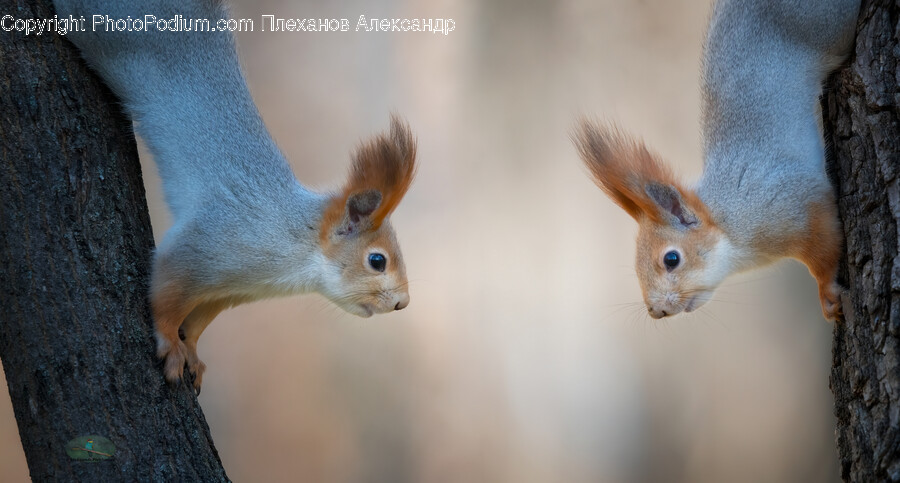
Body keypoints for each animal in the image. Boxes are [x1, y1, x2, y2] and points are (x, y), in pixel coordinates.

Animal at [53, 0, 417, 390]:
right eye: (376, 260)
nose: (403, 303)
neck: (297, 247)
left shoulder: (231, 289)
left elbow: (197, 322)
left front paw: (191, 351)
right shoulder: (208, 246)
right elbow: (167, 293)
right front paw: (170, 343)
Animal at [573, 0, 860, 321]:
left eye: (671, 259)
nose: (656, 311)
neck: (729, 223)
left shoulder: (797, 206)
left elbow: (825, 247)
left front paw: (827, 294)